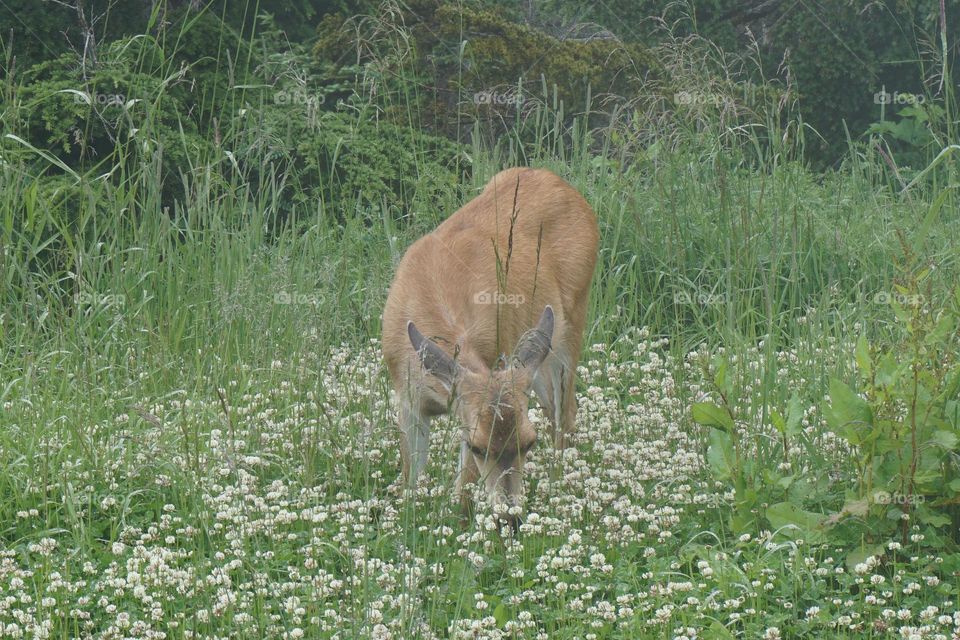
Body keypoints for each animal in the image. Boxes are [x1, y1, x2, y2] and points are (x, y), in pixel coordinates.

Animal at [381, 167, 599, 530]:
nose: (511, 518)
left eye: (528, 442)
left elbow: (465, 489)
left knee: (565, 411)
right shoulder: (408, 399)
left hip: (572, 321)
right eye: (479, 446)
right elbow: (411, 478)